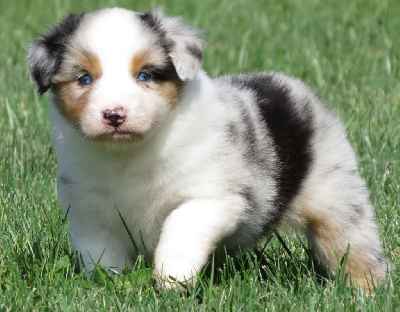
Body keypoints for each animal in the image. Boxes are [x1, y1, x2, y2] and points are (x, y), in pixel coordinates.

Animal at [26, 7, 386, 290]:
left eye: (145, 75)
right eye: (84, 79)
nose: (114, 114)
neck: (130, 154)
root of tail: (288, 85)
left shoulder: (213, 196)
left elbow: (180, 224)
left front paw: (172, 277)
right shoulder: (89, 213)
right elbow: (101, 256)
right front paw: (110, 285)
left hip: (335, 195)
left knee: (354, 245)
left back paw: (364, 291)